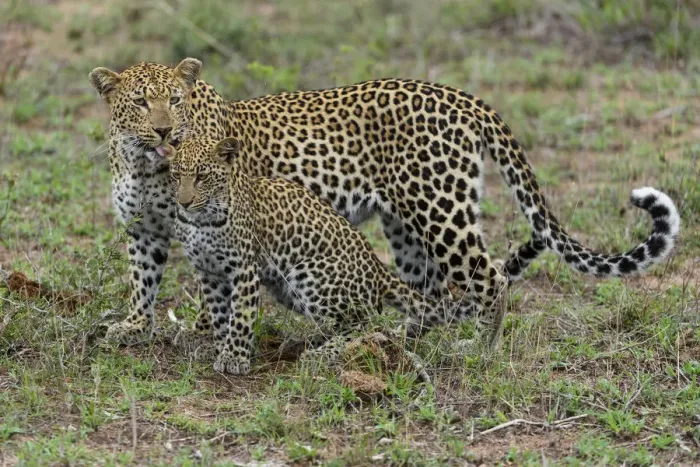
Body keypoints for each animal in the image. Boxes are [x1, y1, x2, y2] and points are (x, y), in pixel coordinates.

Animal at [88, 58, 680, 349]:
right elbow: (142, 280)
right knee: (429, 290)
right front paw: (134, 328)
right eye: (140, 102)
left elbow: (222, 291)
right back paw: (404, 340)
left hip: (439, 207)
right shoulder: (144, 231)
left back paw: (480, 351)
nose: (166, 131)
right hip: (405, 224)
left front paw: (213, 336)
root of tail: (462, 96)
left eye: (176, 100)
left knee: (488, 275)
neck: (141, 162)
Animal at [168, 135, 473, 374]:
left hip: (308, 272)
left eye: (202, 177)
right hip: (287, 289)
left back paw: (320, 354)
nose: (183, 202)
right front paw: (219, 348)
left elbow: (240, 316)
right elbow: (219, 314)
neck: (200, 222)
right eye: (176, 176)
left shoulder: (243, 269)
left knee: (365, 326)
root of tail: (378, 269)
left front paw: (234, 358)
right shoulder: (209, 272)